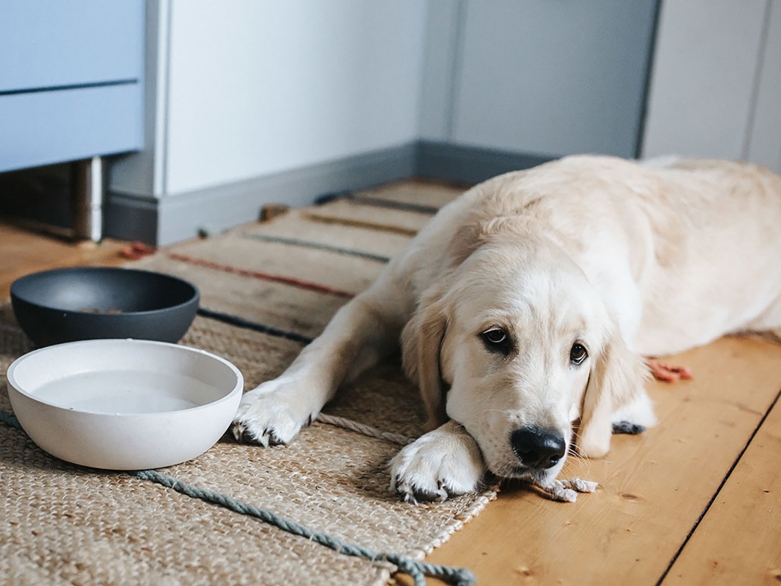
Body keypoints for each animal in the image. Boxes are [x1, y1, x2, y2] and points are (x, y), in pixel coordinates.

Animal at [230, 155, 780, 502]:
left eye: (579, 353)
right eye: (496, 338)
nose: (544, 449)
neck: (526, 222)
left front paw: (440, 452)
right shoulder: (383, 300)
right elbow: (328, 347)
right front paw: (273, 401)